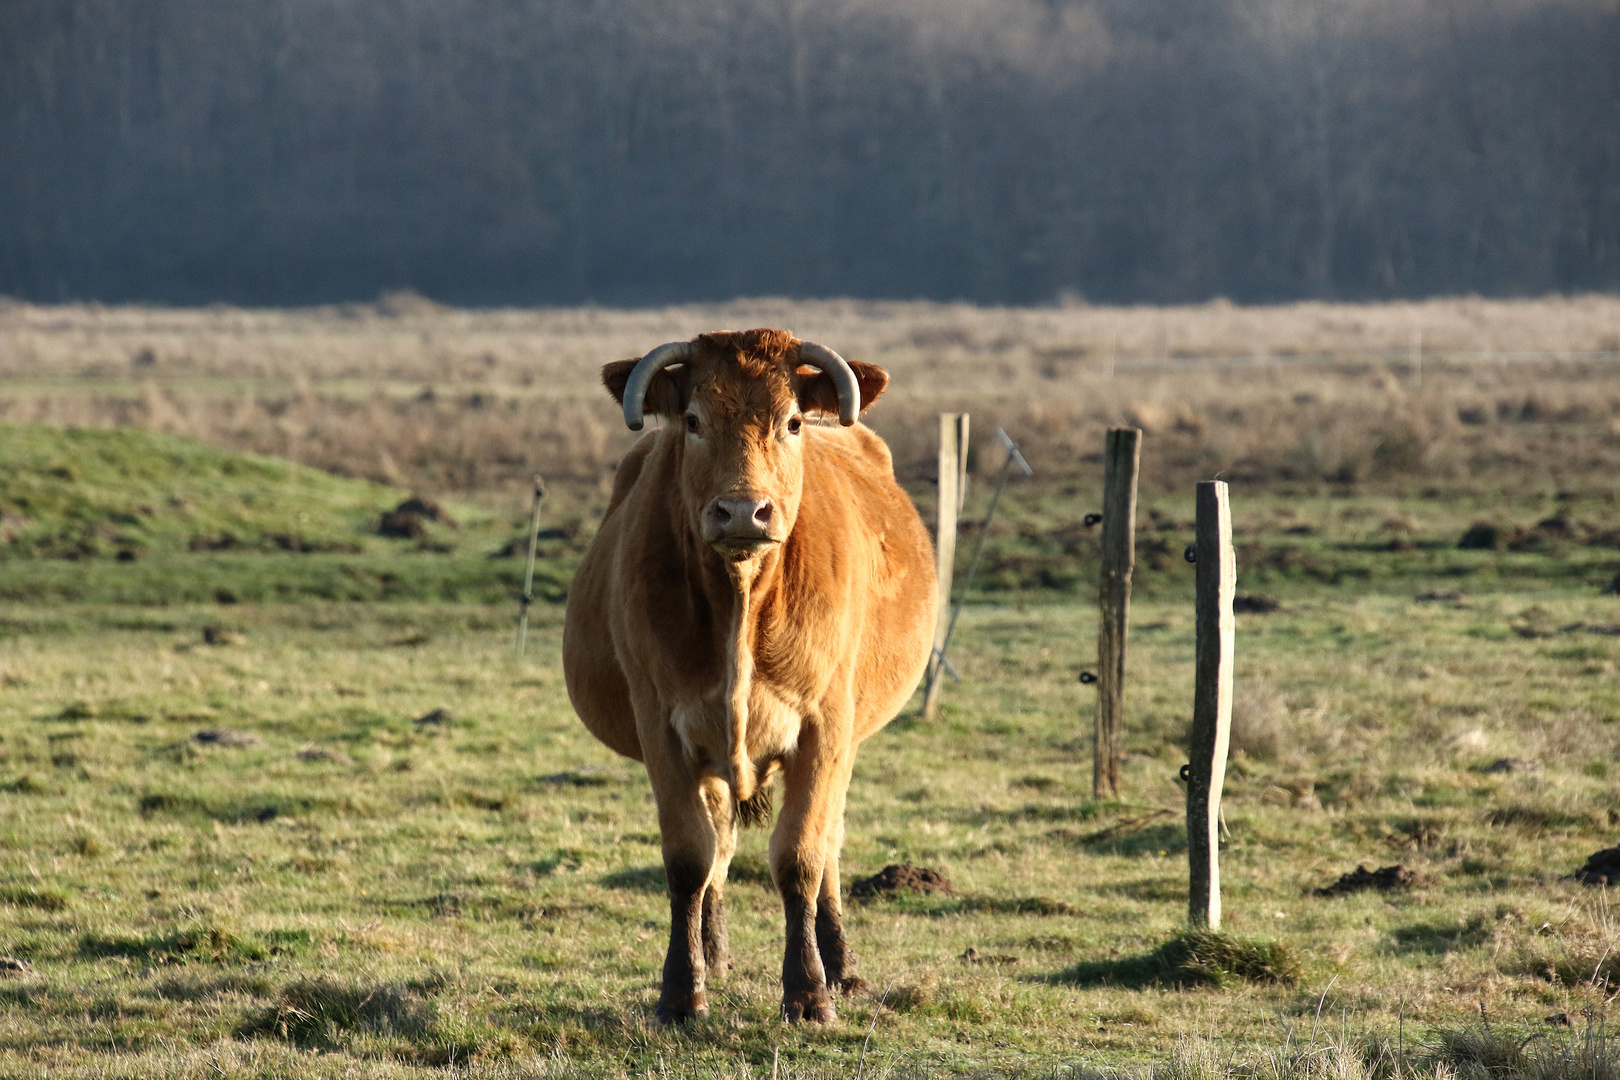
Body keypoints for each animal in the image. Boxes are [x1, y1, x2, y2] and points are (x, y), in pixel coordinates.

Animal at [563, 327, 939, 1023]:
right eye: (692, 420)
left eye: (790, 422)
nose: (743, 512)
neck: (742, 597)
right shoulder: (663, 727)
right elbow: (691, 857)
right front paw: (682, 992)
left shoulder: (825, 728)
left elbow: (800, 859)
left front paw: (810, 993)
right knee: (719, 847)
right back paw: (712, 954)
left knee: (829, 846)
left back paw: (841, 966)